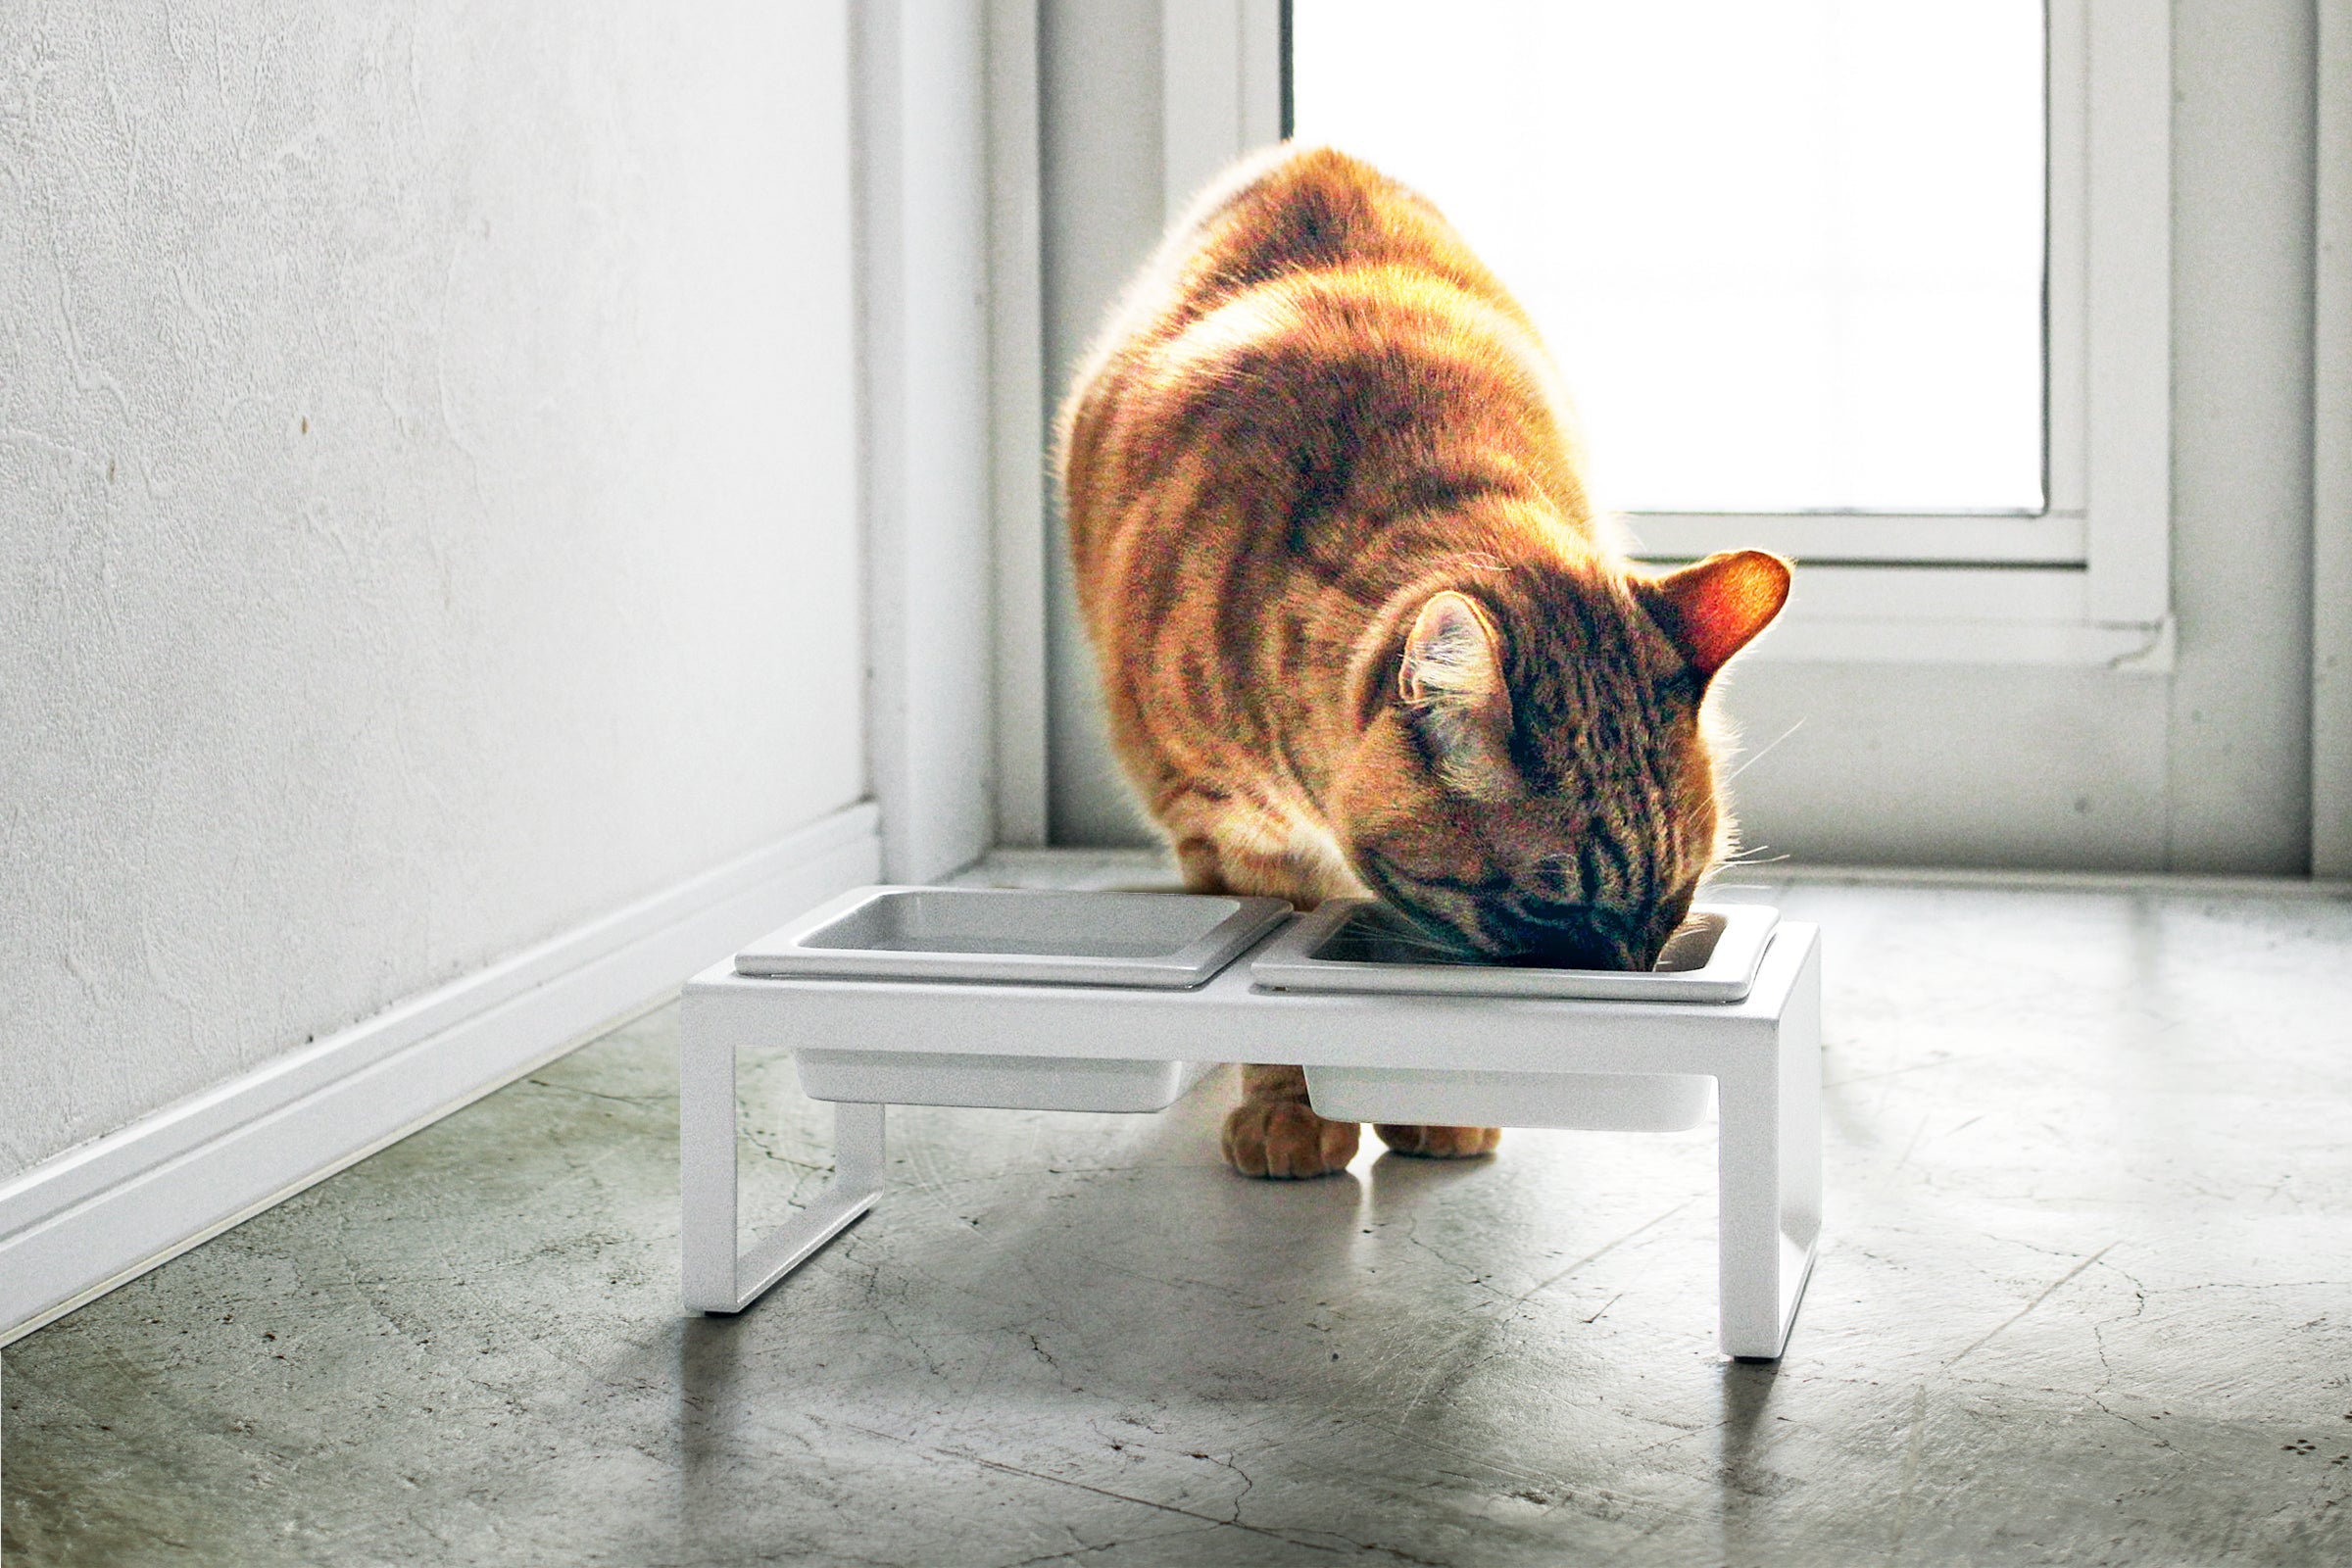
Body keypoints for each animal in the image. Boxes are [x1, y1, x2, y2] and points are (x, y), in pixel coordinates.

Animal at [1058, 146, 1788, 1175]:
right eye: (1547, 908)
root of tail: (1307, 154)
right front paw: (1292, 1113)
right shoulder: (1231, 836)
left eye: (1678, 896)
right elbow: (1263, 1009)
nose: (1629, 979)